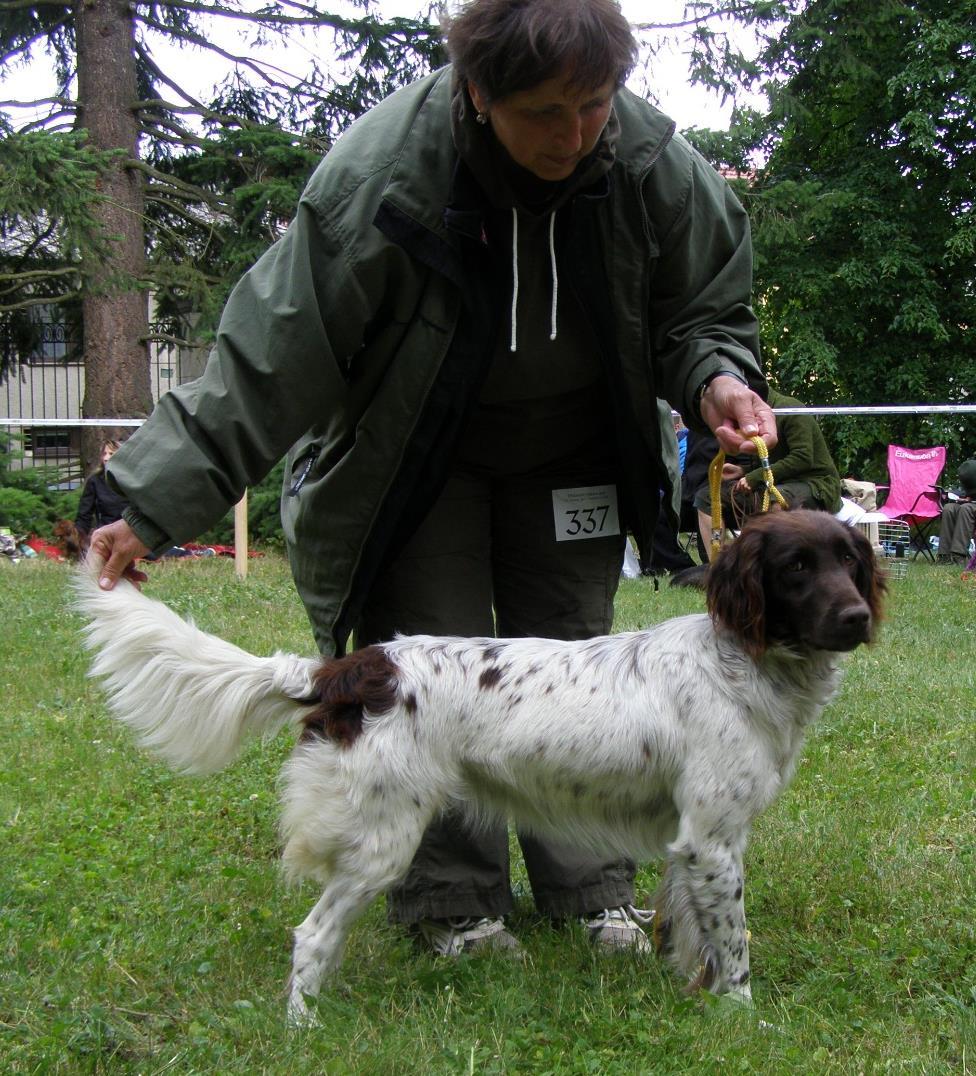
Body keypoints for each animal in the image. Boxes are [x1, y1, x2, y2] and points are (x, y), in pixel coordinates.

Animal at [76, 507, 886, 1020]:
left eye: (850, 562)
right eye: (795, 568)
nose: (857, 618)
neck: (740, 661)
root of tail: (351, 670)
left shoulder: (698, 841)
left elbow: (695, 936)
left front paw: (701, 1000)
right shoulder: (713, 841)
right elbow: (734, 946)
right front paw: (743, 1017)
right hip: (383, 841)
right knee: (311, 937)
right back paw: (304, 1028)